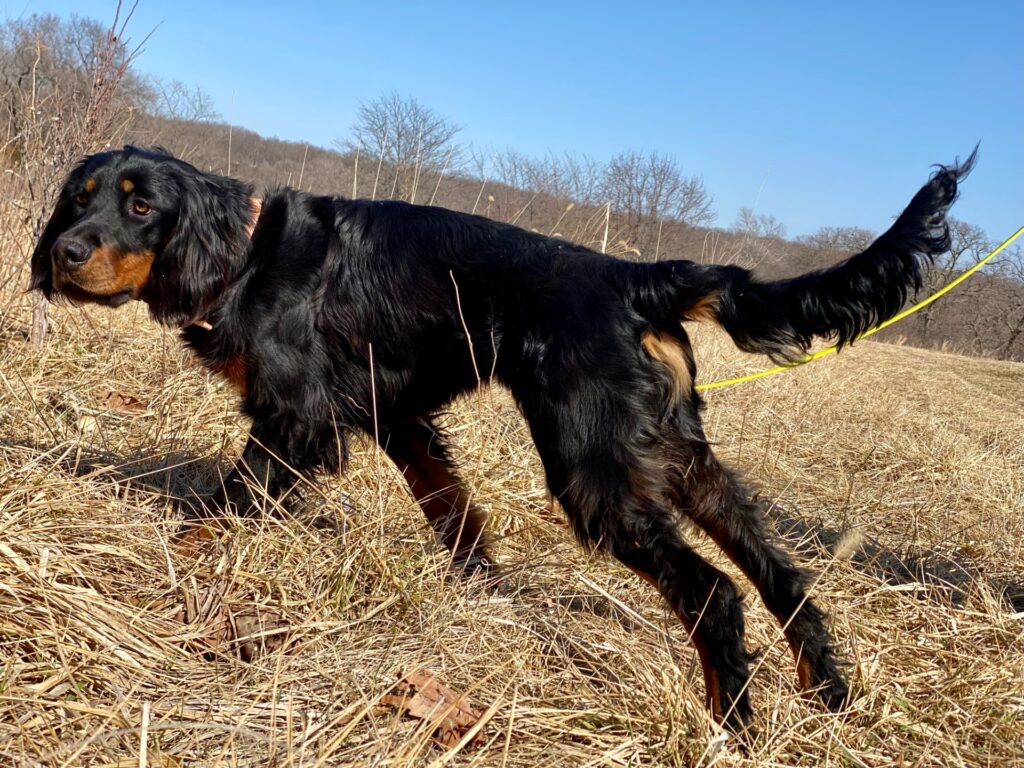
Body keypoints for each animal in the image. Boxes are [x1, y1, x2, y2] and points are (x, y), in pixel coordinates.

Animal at [29, 145, 974, 733]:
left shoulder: (297, 419)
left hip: (594, 470)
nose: (66, 252)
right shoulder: (395, 417)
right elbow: (450, 506)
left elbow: (225, 503)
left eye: (140, 205)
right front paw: (478, 584)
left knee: (714, 593)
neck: (245, 254)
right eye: (78, 198)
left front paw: (177, 563)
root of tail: (636, 277)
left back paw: (729, 727)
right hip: (676, 456)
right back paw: (825, 696)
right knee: (780, 574)